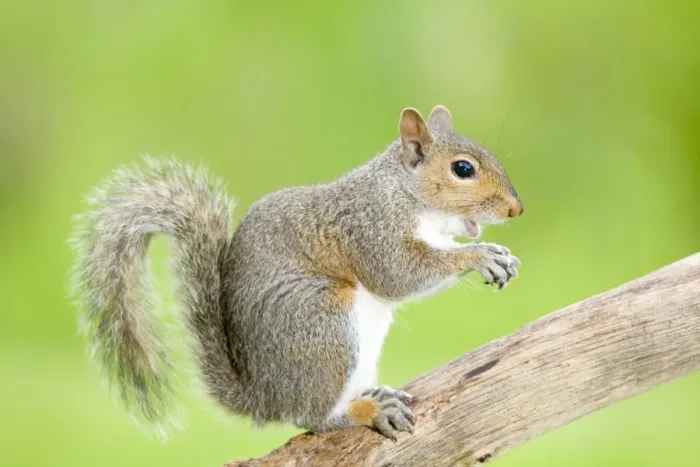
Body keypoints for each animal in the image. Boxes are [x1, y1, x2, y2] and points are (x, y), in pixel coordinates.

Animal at [70, 105, 523, 441]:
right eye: (462, 169)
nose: (516, 209)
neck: (405, 193)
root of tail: (263, 397)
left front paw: (498, 251)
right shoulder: (370, 228)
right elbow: (397, 274)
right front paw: (480, 255)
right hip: (324, 322)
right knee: (312, 418)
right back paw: (366, 411)